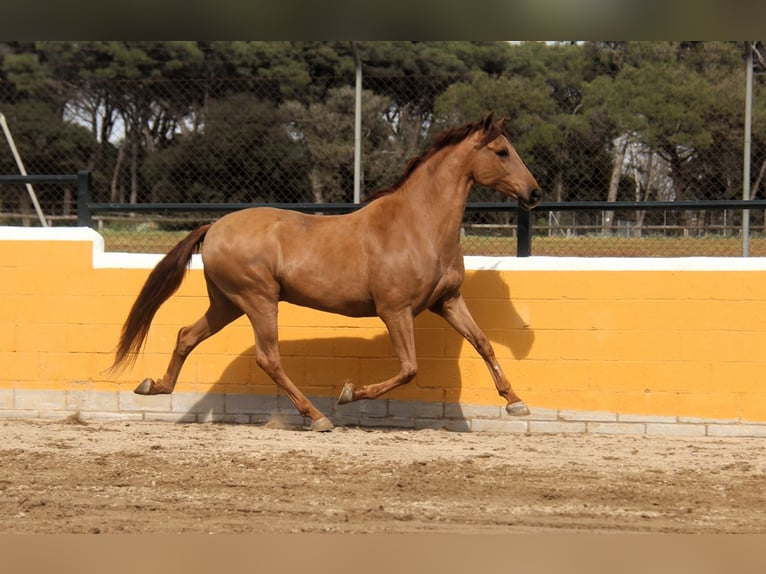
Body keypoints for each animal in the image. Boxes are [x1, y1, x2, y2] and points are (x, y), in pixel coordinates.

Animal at [109, 113, 541, 431]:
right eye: (502, 151)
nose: (535, 193)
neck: (417, 225)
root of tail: (213, 227)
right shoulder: (395, 310)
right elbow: (409, 369)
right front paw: (348, 392)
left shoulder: (448, 301)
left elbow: (483, 343)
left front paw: (516, 402)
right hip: (258, 300)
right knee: (268, 358)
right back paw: (318, 417)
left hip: (226, 304)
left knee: (187, 335)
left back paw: (153, 386)